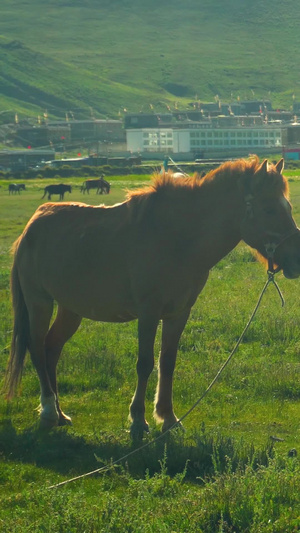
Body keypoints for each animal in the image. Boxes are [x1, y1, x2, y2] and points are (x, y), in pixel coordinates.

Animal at [3, 157, 300, 436]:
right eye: (269, 209)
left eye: (288, 207)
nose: (295, 260)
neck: (178, 239)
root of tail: (32, 225)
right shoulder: (148, 312)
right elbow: (144, 363)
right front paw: (138, 419)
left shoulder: (178, 313)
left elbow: (167, 363)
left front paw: (168, 417)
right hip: (39, 302)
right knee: (36, 347)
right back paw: (48, 412)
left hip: (70, 308)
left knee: (51, 348)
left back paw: (60, 413)